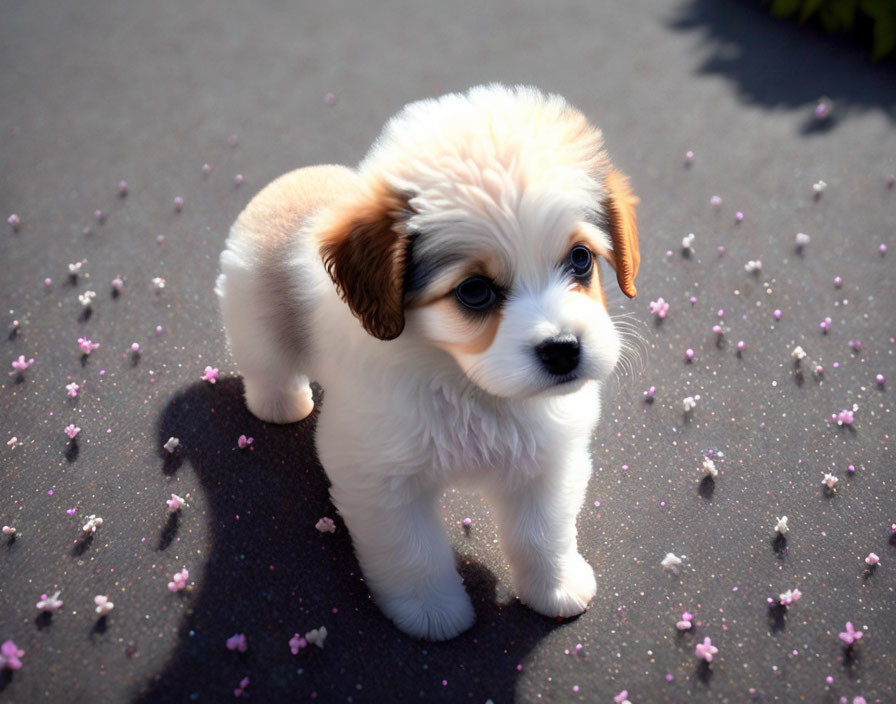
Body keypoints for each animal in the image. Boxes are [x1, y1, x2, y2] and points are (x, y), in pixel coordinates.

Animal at [215, 85, 636, 640]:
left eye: (581, 259)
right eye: (474, 291)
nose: (564, 349)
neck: (466, 383)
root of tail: (298, 179)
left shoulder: (548, 463)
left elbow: (541, 536)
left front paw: (556, 586)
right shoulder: (380, 480)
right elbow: (414, 554)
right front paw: (432, 612)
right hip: (253, 322)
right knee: (268, 370)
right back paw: (281, 404)